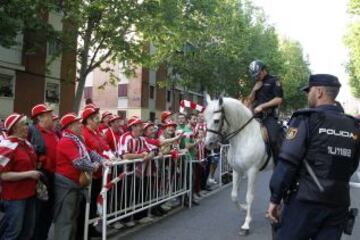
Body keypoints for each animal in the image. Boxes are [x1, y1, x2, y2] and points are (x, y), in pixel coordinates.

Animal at [204, 94, 274, 235]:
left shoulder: (252, 172)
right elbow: (234, 195)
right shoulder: (237, 170)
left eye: (216, 120)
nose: (208, 144)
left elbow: (249, 196)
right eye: (204, 119)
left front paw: (246, 224)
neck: (244, 137)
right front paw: (243, 208)